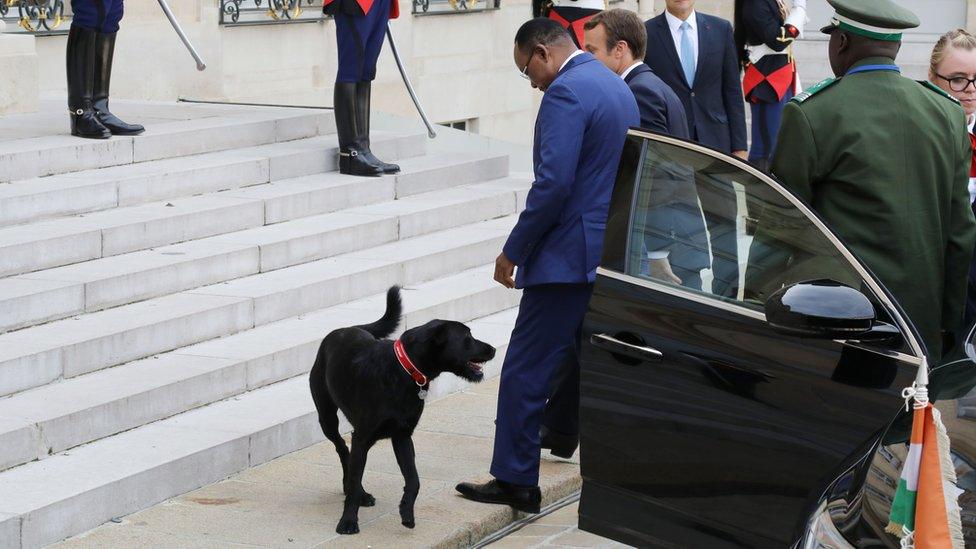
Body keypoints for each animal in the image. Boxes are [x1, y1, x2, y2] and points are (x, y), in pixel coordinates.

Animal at [310, 284, 500, 532]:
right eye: (467, 339)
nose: (493, 349)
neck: (405, 371)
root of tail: (347, 328)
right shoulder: (362, 436)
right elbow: (355, 478)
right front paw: (348, 521)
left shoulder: (402, 436)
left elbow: (414, 479)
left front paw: (406, 511)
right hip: (327, 417)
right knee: (343, 450)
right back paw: (357, 492)